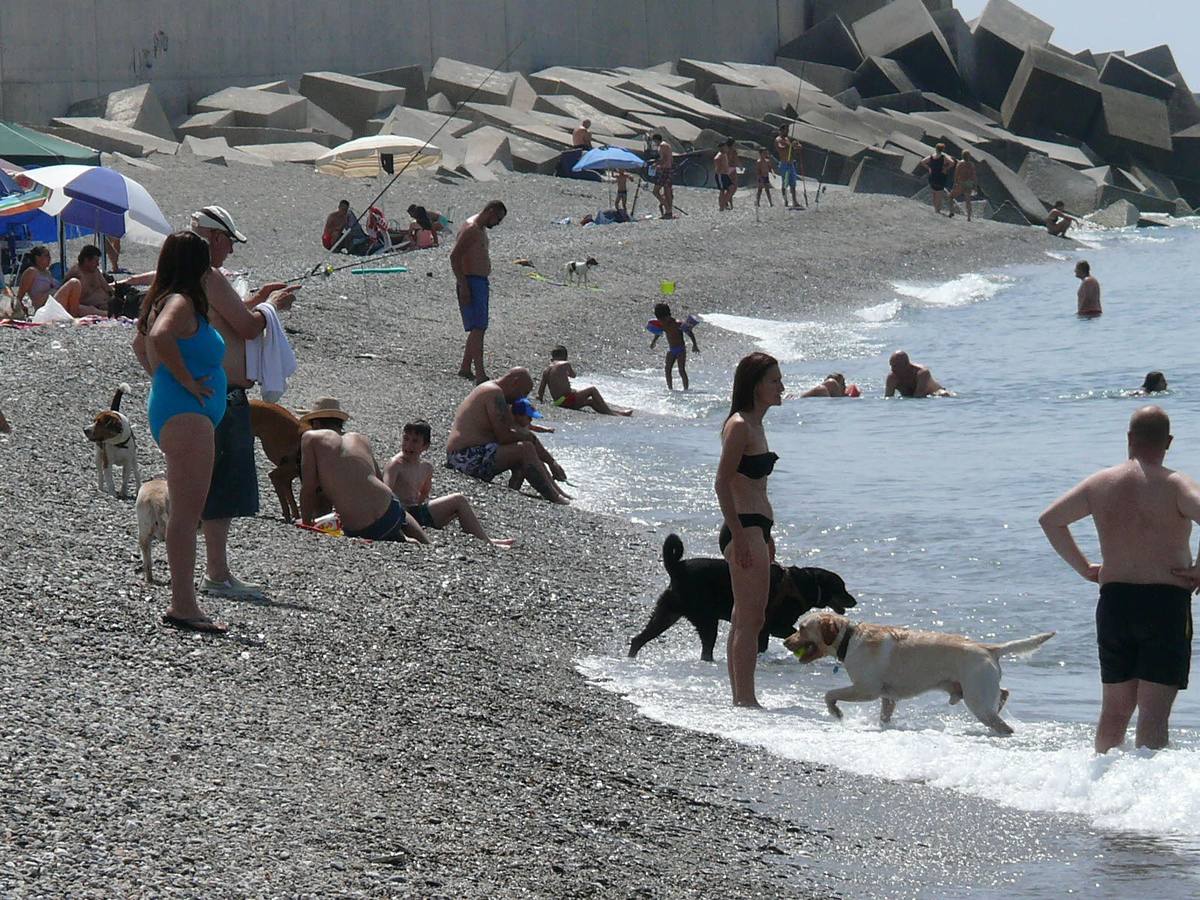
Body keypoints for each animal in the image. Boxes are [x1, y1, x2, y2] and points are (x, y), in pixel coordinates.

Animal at [633, 535, 859, 662]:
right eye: (841, 588)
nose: (854, 601)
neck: (805, 584)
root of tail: (677, 568)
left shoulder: (764, 629)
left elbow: (762, 646)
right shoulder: (777, 626)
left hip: (667, 612)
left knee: (638, 638)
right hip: (705, 619)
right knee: (706, 645)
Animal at [787, 609, 1051, 734]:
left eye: (802, 627)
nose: (785, 641)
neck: (849, 638)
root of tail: (988, 647)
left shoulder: (866, 690)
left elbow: (829, 694)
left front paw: (837, 713)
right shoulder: (888, 697)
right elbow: (884, 716)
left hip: (977, 699)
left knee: (1001, 721)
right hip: (980, 693)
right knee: (1004, 692)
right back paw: (1001, 703)